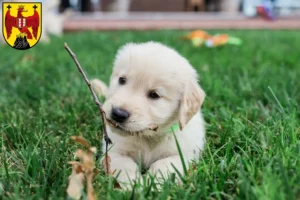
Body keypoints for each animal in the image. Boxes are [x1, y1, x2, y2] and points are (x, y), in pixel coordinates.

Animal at [91, 41, 206, 188]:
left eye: (154, 95)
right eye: (122, 80)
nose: (118, 113)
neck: (149, 137)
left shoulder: (183, 156)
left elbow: (162, 165)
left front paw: (153, 186)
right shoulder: (113, 152)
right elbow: (126, 166)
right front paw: (134, 186)